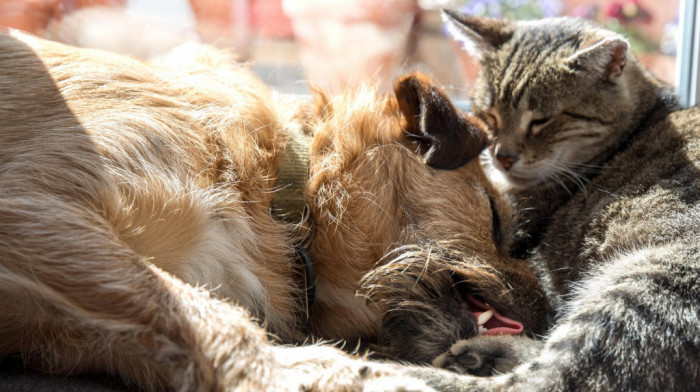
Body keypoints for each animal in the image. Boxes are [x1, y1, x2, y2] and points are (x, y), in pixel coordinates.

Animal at [0, 32, 548, 390]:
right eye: (495, 218)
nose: (547, 311)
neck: (279, 192)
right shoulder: (32, 207)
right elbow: (206, 314)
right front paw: (327, 373)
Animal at [416, 9, 700, 392]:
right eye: (490, 116)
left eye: (541, 121)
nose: (502, 156)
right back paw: (479, 354)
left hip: (640, 288)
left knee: (541, 379)